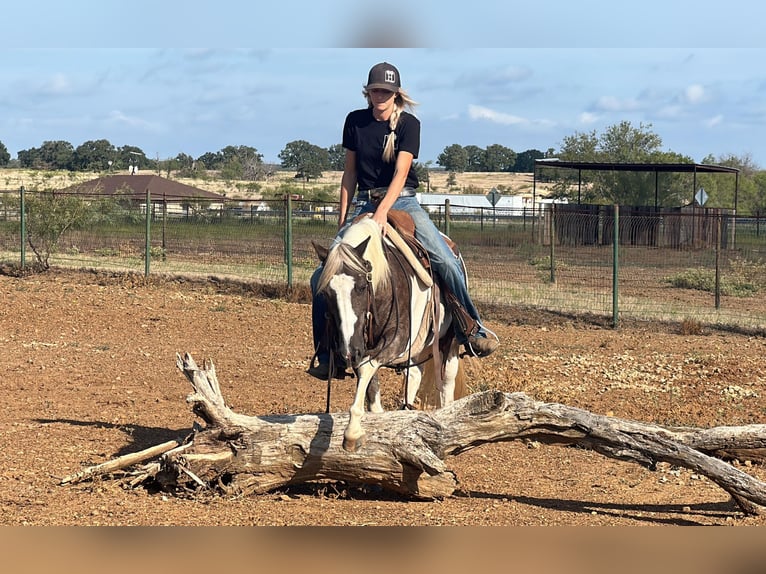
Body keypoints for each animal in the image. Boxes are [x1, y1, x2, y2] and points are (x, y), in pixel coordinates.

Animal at [314, 214, 468, 452]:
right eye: (326, 293)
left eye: (361, 286)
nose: (347, 353)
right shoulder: (361, 345)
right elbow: (370, 384)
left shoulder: (398, 339)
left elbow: (366, 368)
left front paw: (352, 432)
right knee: (414, 374)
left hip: (448, 341)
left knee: (447, 382)